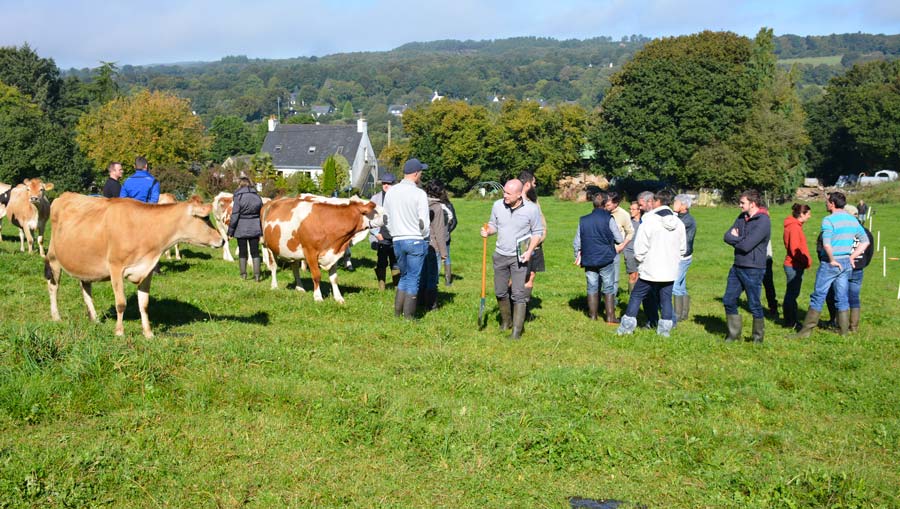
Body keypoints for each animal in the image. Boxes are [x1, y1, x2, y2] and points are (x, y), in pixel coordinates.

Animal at [45, 191, 225, 338]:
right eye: (205, 218)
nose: (222, 240)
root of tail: (64, 195)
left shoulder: (147, 270)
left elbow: (144, 304)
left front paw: (148, 333)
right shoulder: (116, 267)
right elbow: (121, 303)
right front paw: (119, 332)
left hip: (85, 263)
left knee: (86, 288)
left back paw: (94, 318)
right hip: (53, 258)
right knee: (53, 287)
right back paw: (56, 316)